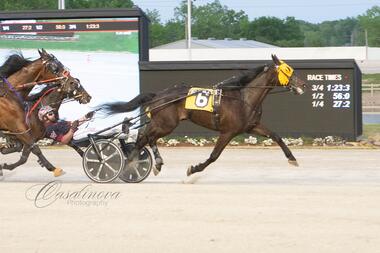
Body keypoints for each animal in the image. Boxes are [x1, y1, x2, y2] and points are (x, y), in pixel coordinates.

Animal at [0, 48, 91, 177]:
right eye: (55, 67)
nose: (88, 97)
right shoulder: (19, 128)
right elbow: (34, 150)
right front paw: (54, 168)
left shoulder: (29, 133)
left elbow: (24, 155)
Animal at [100, 54, 306, 178]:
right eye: (288, 70)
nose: (303, 84)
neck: (243, 98)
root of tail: (159, 95)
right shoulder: (228, 132)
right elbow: (214, 155)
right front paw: (194, 169)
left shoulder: (251, 126)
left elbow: (276, 136)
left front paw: (292, 158)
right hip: (166, 124)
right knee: (146, 137)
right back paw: (137, 163)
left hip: (160, 123)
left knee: (144, 137)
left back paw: (142, 162)